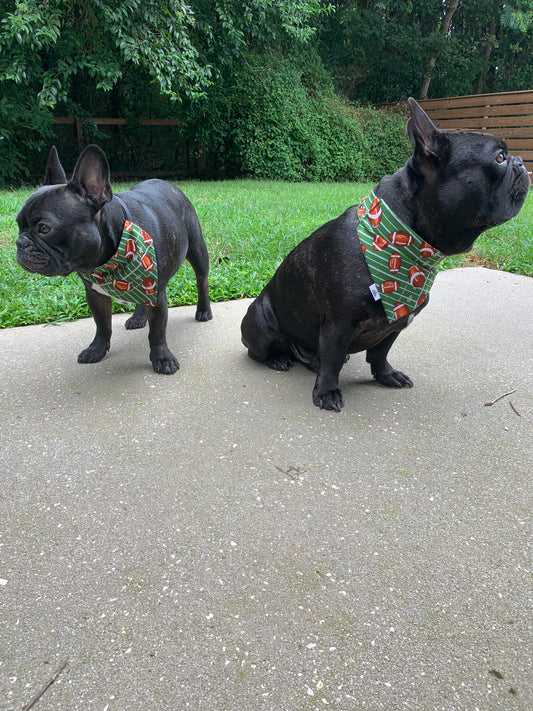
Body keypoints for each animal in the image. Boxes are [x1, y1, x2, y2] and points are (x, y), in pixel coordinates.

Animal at [16, 147, 212, 376]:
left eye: (44, 228)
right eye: (18, 224)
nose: (20, 242)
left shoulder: (157, 293)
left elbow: (157, 331)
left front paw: (162, 359)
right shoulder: (95, 294)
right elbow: (102, 324)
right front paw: (97, 349)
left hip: (197, 250)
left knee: (201, 280)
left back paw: (204, 311)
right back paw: (138, 318)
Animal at [240, 99, 528, 412]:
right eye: (499, 158)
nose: (521, 161)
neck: (398, 239)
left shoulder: (395, 324)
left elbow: (380, 353)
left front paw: (386, 375)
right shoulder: (338, 325)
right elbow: (331, 361)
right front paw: (327, 392)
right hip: (259, 323)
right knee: (263, 351)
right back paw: (278, 359)